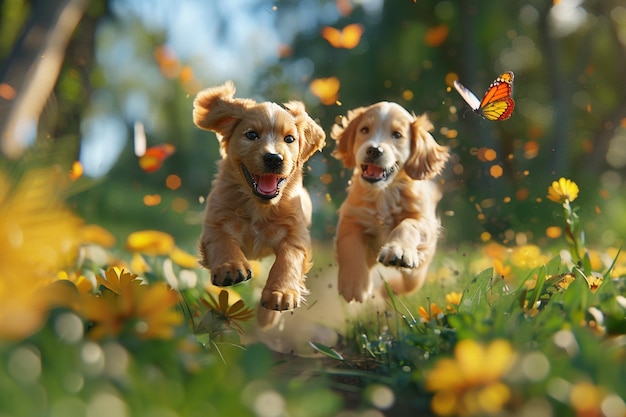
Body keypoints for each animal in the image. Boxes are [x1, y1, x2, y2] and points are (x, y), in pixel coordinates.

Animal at [193, 79, 324, 324]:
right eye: (252, 135)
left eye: (289, 139)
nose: (274, 158)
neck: (259, 206)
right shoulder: (216, 221)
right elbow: (222, 241)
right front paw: (230, 266)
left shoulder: (296, 233)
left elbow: (288, 259)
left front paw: (281, 293)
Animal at [332, 102, 448, 300]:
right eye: (364, 130)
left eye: (397, 135)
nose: (374, 150)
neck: (384, 193)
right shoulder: (351, 217)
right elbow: (350, 246)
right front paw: (353, 285)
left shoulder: (425, 221)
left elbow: (408, 224)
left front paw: (399, 251)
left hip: (418, 271)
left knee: (409, 283)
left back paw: (389, 289)